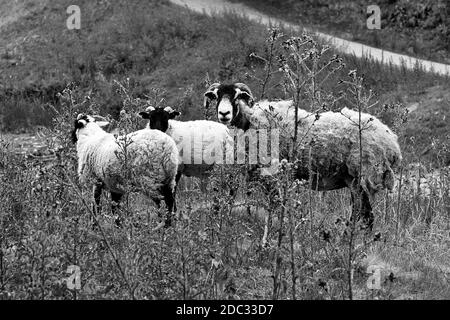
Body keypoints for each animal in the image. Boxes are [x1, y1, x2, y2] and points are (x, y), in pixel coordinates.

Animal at [204, 81, 404, 229]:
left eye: (236, 96)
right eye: (217, 96)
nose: (224, 113)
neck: (250, 122)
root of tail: (393, 143)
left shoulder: (272, 173)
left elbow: (275, 205)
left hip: (365, 175)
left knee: (367, 216)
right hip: (352, 180)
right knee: (359, 214)